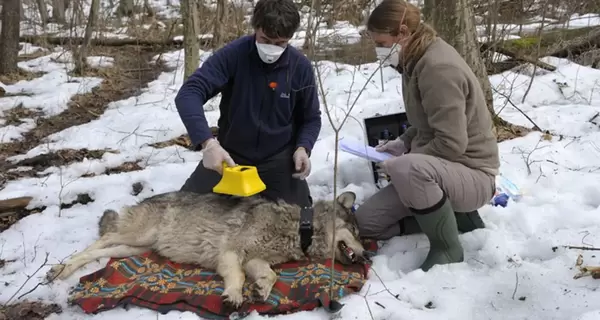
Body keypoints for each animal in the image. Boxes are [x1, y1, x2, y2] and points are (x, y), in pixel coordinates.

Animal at [45, 190, 366, 308]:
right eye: (356, 232)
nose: (366, 254)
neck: (300, 228)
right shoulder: (231, 254)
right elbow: (237, 277)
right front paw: (234, 295)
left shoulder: (254, 259)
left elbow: (271, 276)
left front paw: (260, 290)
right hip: (136, 235)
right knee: (100, 241)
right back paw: (59, 269)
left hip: (133, 248)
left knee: (99, 253)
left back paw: (63, 270)